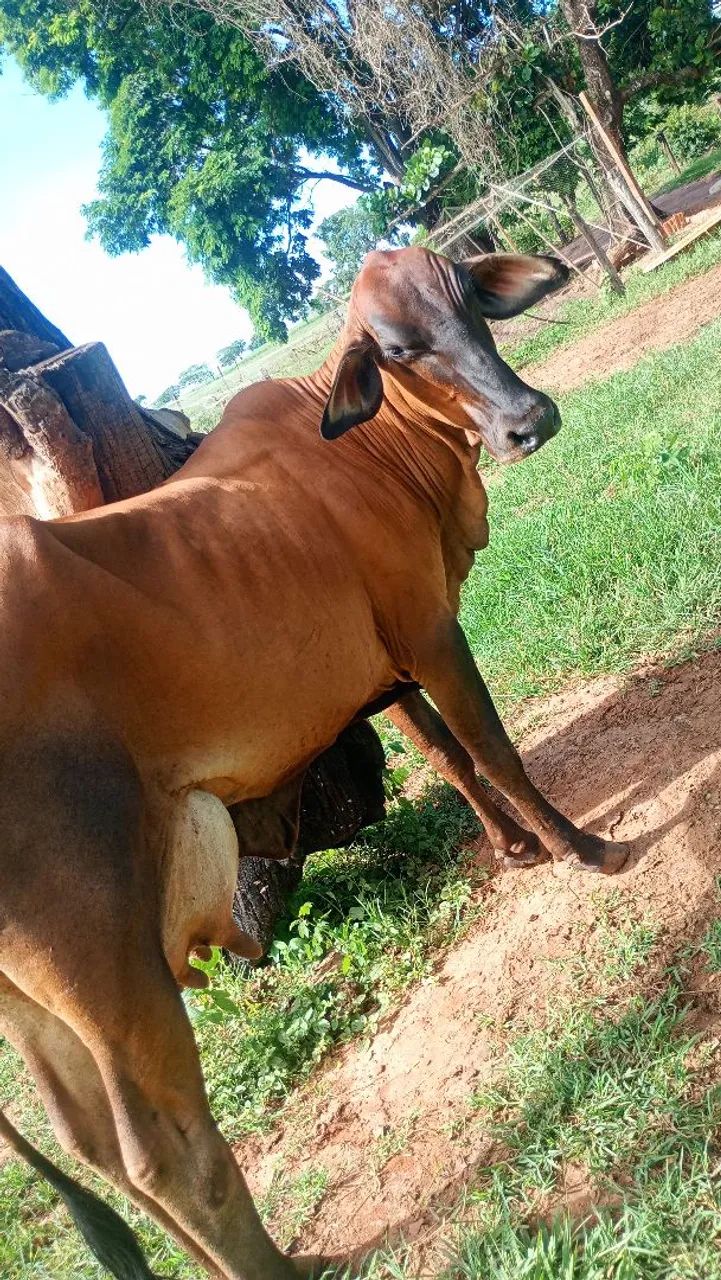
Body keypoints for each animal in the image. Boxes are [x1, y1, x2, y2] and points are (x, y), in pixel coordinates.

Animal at [0, 248, 629, 1280]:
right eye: (399, 348)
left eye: (470, 301)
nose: (526, 419)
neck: (373, 450)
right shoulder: (430, 629)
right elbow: (491, 746)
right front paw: (582, 849)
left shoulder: (387, 659)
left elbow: (445, 755)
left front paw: (512, 848)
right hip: (103, 950)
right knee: (160, 1151)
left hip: (34, 1001)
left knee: (95, 1152)